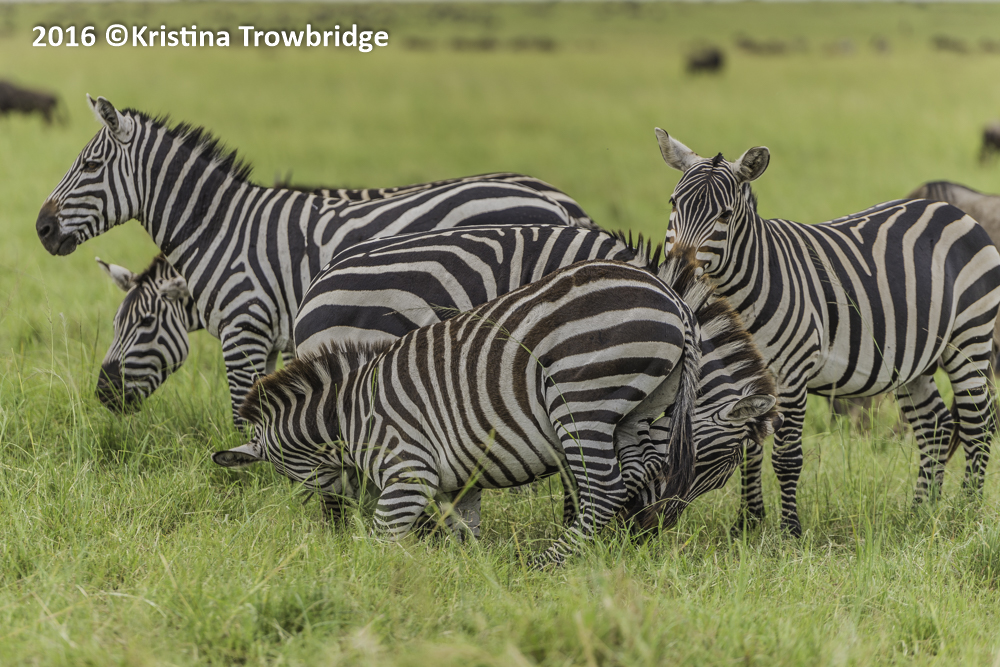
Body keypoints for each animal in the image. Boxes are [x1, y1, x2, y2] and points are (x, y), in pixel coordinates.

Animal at [36, 95, 589, 422]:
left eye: (91, 165)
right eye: (116, 325)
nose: (42, 228)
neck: (219, 229)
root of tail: (554, 199)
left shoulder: (245, 328)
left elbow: (243, 410)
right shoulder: (274, 336)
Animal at [213, 260, 774, 565]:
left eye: (293, 475)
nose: (651, 530)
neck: (349, 414)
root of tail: (673, 302)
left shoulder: (407, 472)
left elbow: (381, 543)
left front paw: (370, 586)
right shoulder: (462, 482)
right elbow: (465, 539)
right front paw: (471, 580)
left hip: (580, 393)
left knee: (604, 489)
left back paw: (545, 565)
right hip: (638, 409)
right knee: (632, 475)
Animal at [655, 128, 1000, 536]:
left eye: (724, 215)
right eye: (673, 203)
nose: (678, 272)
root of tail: (953, 211)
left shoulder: (793, 374)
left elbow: (787, 457)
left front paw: (789, 531)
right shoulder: (752, 379)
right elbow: (751, 449)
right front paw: (748, 522)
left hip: (970, 339)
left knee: (978, 424)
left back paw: (967, 512)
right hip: (915, 360)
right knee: (935, 426)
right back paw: (921, 511)